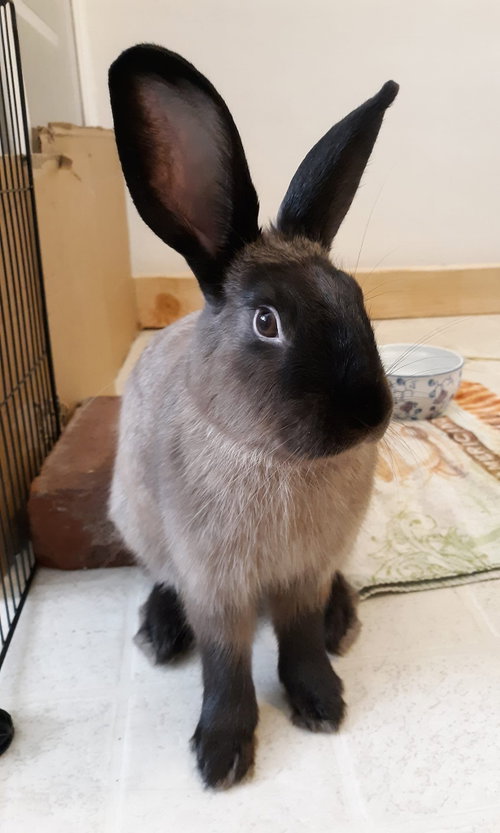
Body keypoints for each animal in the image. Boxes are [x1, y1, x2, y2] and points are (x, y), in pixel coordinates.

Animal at [108, 44, 398, 789]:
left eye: (357, 300)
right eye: (267, 321)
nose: (369, 415)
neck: (274, 459)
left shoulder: (305, 572)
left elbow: (298, 640)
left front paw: (323, 703)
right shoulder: (216, 584)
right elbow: (225, 665)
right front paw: (221, 755)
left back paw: (342, 620)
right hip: (136, 520)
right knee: (160, 578)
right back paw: (159, 631)